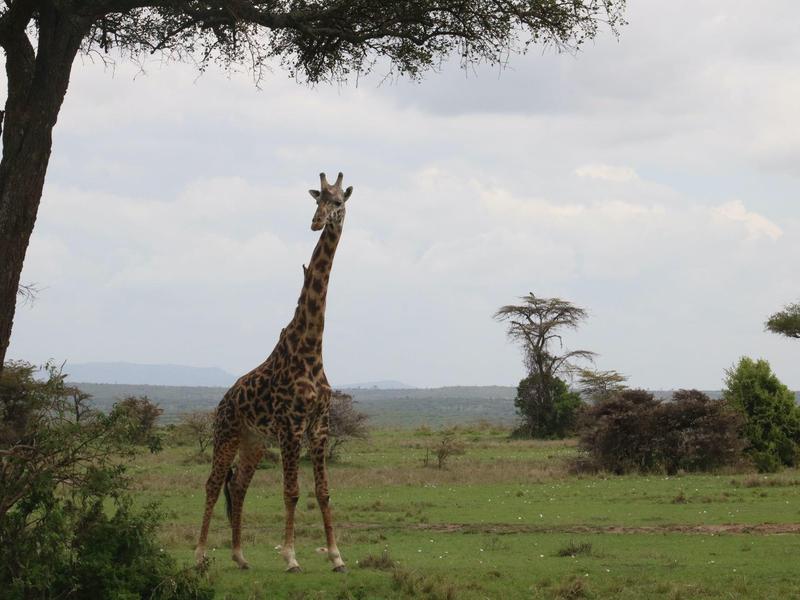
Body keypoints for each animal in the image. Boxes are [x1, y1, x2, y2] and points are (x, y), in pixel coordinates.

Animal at [195, 172, 354, 573]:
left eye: (338, 202)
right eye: (316, 200)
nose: (316, 222)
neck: (311, 348)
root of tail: (223, 401)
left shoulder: (319, 425)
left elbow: (323, 492)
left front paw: (337, 556)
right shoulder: (291, 425)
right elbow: (292, 491)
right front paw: (291, 557)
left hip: (254, 441)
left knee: (237, 486)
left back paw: (239, 556)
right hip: (227, 433)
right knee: (212, 483)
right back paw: (200, 554)